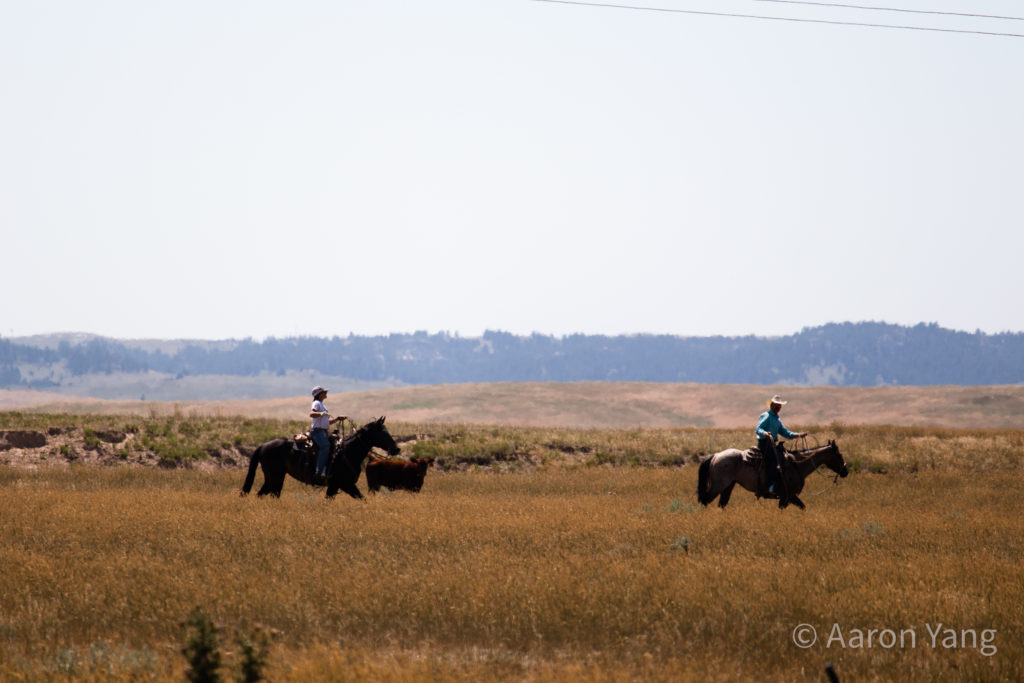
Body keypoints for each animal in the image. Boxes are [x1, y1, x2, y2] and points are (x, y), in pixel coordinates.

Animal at [239, 413, 399, 499]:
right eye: (383, 432)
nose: (396, 449)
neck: (348, 452)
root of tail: (263, 446)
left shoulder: (338, 486)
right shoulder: (343, 484)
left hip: (273, 478)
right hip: (275, 477)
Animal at [696, 440, 847, 509]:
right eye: (839, 455)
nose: (846, 471)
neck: (797, 464)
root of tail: (716, 455)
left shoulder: (788, 497)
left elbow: (802, 507)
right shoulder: (787, 496)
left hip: (728, 486)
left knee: (721, 503)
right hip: (718, 486)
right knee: (705, 500)